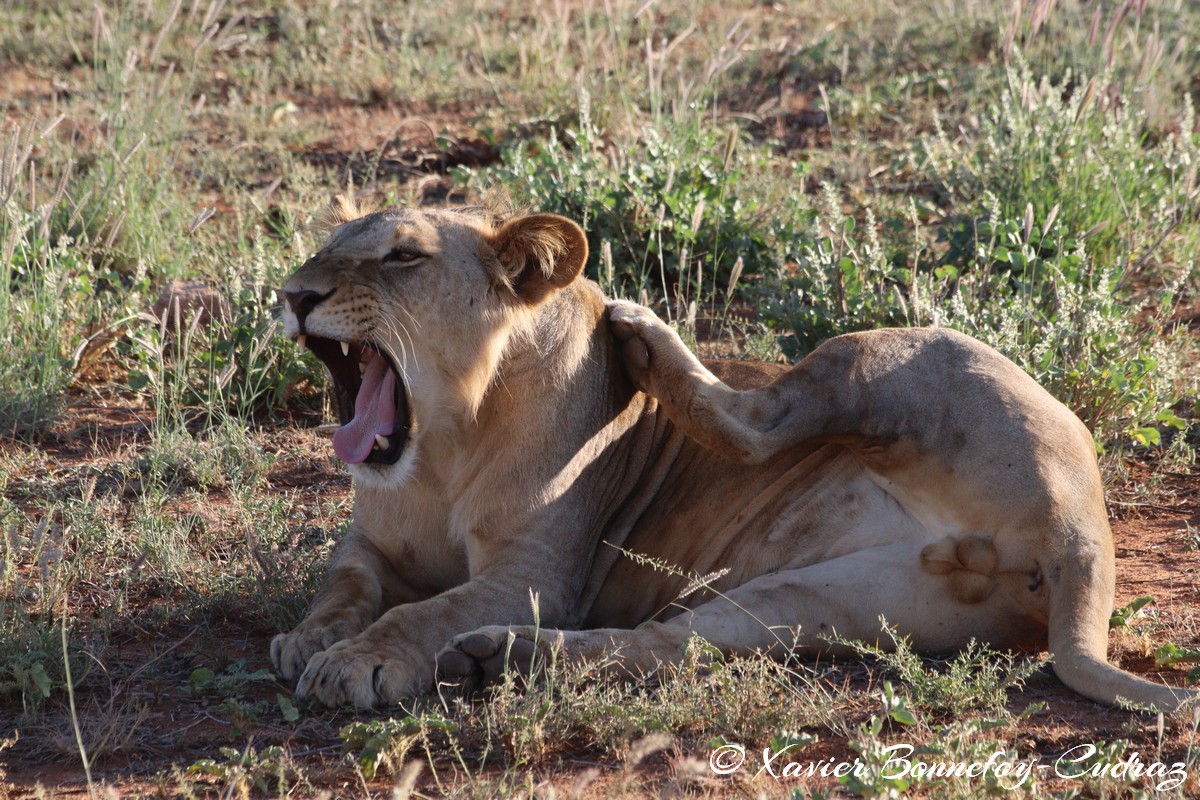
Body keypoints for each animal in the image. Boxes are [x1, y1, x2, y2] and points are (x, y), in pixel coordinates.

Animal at [273, 198, 1194, 713]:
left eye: (402, 255)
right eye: (327, 246)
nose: (292, 293)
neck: (439, 446)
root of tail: (1084, 528)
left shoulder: (535, 573)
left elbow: (420, 612)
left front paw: (355, 663)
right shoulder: (372, 542)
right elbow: (346, 584)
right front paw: (307, 639)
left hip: (884, 355)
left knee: (760, 417)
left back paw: (641, 334)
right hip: (806, 602)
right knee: (666, 644)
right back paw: (500, 658)